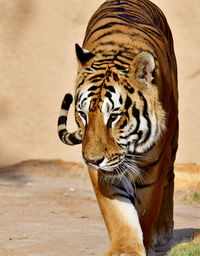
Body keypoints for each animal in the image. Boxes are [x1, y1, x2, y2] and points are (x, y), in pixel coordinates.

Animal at [57, 0, 178, 254]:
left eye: (113, 116)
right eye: (82, 114)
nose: (92, 160)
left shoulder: (154, 162)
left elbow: (146, 209)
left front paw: (146, 241)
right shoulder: (105, 171)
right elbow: (117, 212)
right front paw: (125, 248)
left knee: (170, 176)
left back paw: (163, 231)